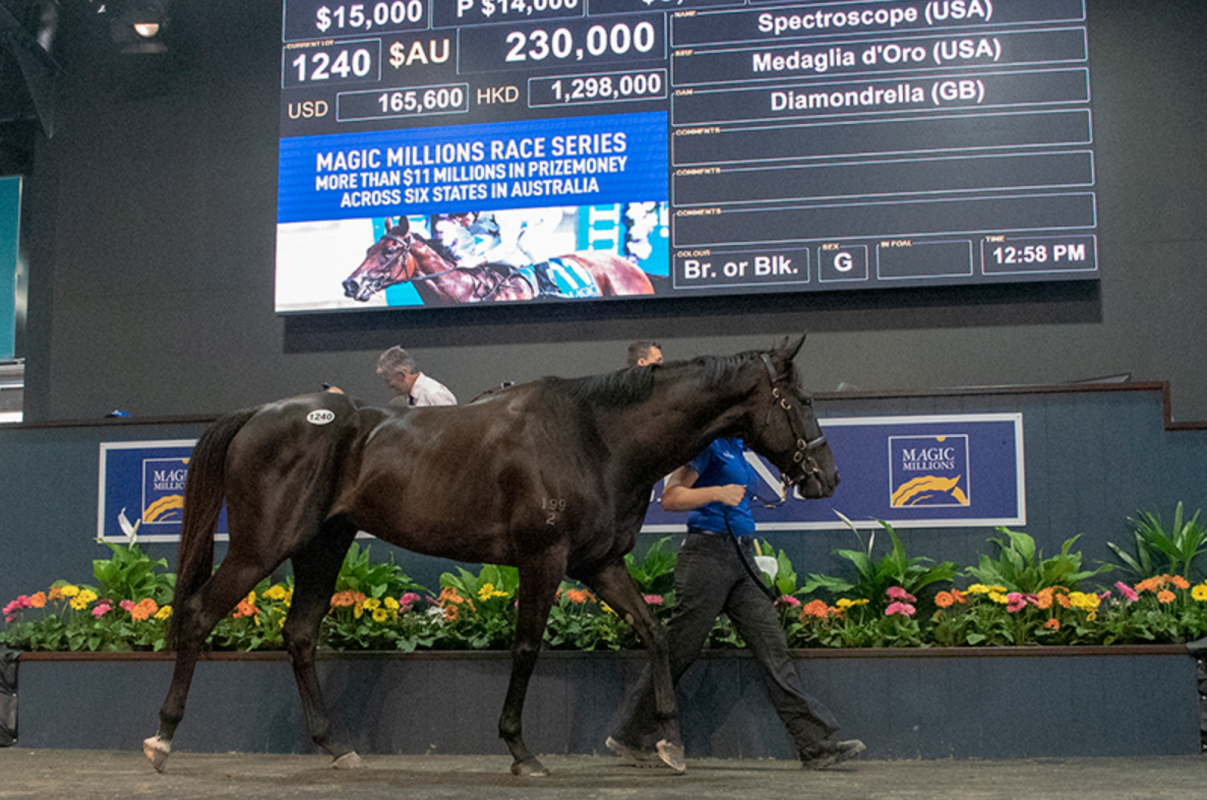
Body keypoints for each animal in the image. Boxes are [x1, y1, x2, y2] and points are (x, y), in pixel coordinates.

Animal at [143, 335, 840, 777]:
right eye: (803, 402)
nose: (825, 477)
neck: (593, 435)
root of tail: (260, 413)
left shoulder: (598, 563)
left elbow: (656, 634)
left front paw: (668, 742)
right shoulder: (544, 559)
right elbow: (527, 648)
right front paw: (521, 751)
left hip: (323, 545)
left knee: (300, 633)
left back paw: (336, 746)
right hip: (267, 543)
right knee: (200, 615)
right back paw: (163, 739)